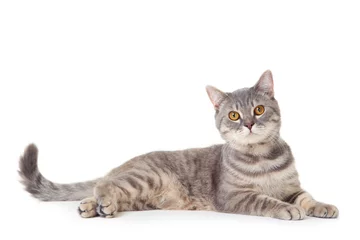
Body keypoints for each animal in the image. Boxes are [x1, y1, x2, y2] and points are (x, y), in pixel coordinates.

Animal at [17, 70, 338, 220]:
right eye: (234, 115)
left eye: (258, 110)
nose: (248, 123)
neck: (261, 158)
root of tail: (121, 165)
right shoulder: (236, 196)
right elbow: (266, 201)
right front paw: (287, 210)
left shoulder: (291, 187)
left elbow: (307, 197)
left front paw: (322, 206)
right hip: (145, 178)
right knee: (105, 185)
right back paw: (100, 201)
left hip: (139, 197)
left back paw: (91, 206)